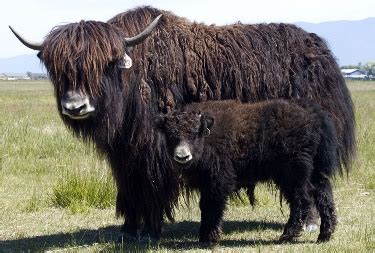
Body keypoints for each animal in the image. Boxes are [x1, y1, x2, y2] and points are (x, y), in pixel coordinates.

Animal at [157, 100, 340, 245]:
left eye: (194, 134)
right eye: (170, 135)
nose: (182, 156)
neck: (208, 134)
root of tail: (313, 114)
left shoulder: (218, 182)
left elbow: (212, 206)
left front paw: (209, 238)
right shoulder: (206, 184)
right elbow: (205, 207)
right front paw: (203, 237)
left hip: (293, 175)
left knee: (302, 200)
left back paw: (287, 235)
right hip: (315, 173)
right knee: (324, 195)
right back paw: (324, 235)